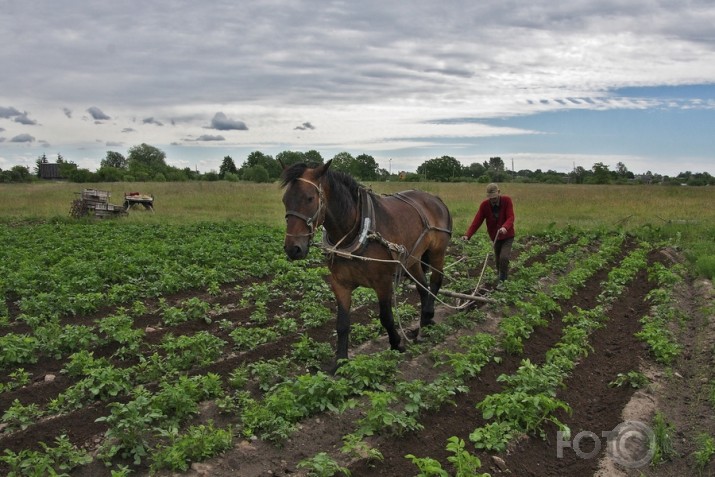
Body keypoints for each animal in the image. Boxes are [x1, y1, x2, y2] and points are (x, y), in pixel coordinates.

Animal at [282, 162, 454, 366]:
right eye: (285, 200)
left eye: (309, 198)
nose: (293, 249)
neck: (356, 232)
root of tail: (435, 198)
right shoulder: (340, 284)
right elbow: (342, 323)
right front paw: (341, 360)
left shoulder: (383, 283)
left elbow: (386, 317)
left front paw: (397, 344)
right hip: (412, 258)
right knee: (423, 287)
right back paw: (423, 323)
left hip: (437, 252)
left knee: (435, 281)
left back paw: (427, 316)